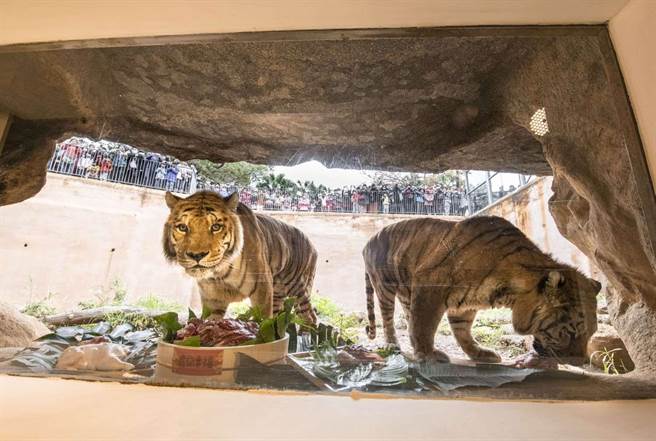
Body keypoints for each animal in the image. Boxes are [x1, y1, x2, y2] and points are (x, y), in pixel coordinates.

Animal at [163, 190, 317, 325]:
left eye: (216, 227)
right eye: (182, 227)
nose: (196, 255)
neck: (219, 272)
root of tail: (313, 245)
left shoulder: (262, 288)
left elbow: (263, 321)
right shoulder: (212, 298)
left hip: (297, 288)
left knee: (309, 315)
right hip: (278, 293)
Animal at [363, 215, 600, 364]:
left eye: (593, 332)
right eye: (571, 331)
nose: (581, 361)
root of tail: (367, 242)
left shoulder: (464, 305)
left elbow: (462, 332)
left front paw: (479, 354)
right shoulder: (430, 283)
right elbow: (424, 325)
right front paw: (427, 354)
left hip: (406, 293)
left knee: (407, 316)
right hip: (385, 288)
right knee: (388, 319)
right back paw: (393, 345)